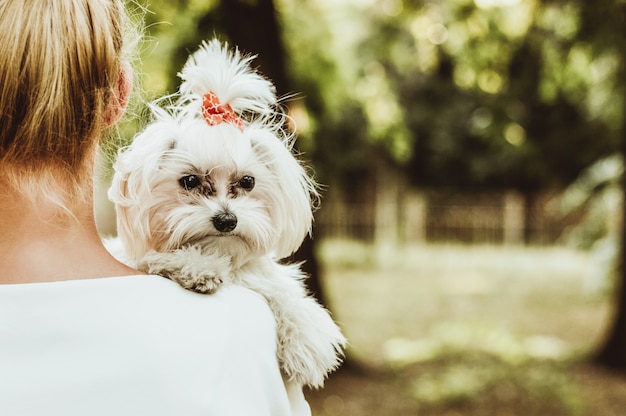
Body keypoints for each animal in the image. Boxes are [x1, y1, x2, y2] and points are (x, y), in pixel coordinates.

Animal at [107, 39, 346, 386]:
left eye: (247, 181)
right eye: (189, 181)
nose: (226, 220)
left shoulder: (258, 275)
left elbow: (282, 289)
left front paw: (304, 336)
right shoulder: (136, 257)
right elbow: (161, 257)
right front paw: (200, 267)